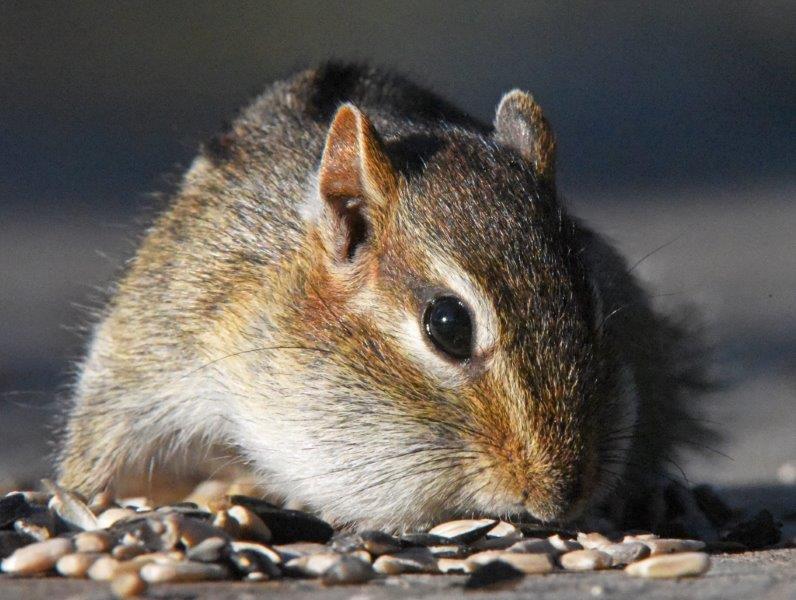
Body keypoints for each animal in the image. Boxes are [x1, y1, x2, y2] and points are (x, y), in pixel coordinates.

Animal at [58, 63, 712, 533]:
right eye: (447, 325)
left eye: (594, 305)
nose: (560, 495)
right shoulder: (158, 340)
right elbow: (99, 440)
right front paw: (85, 502)